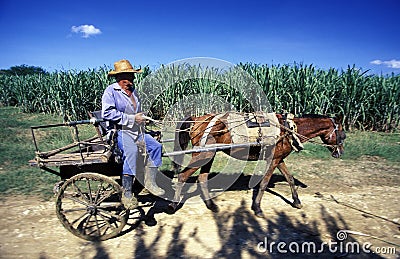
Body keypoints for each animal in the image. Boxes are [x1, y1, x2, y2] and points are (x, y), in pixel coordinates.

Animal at [166, 112, 346, 218]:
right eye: (342, 134)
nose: (340, 152)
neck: (288, 128)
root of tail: (198, 118)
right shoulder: (273, 160)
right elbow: (264, 183)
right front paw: (258, 208)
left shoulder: (279, 159)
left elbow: (289, 178)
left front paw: (296, 201)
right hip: (203, 154)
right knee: (183, 176)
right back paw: (173, 205)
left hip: (209, 155)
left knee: (202, 178)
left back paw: (211, 205)